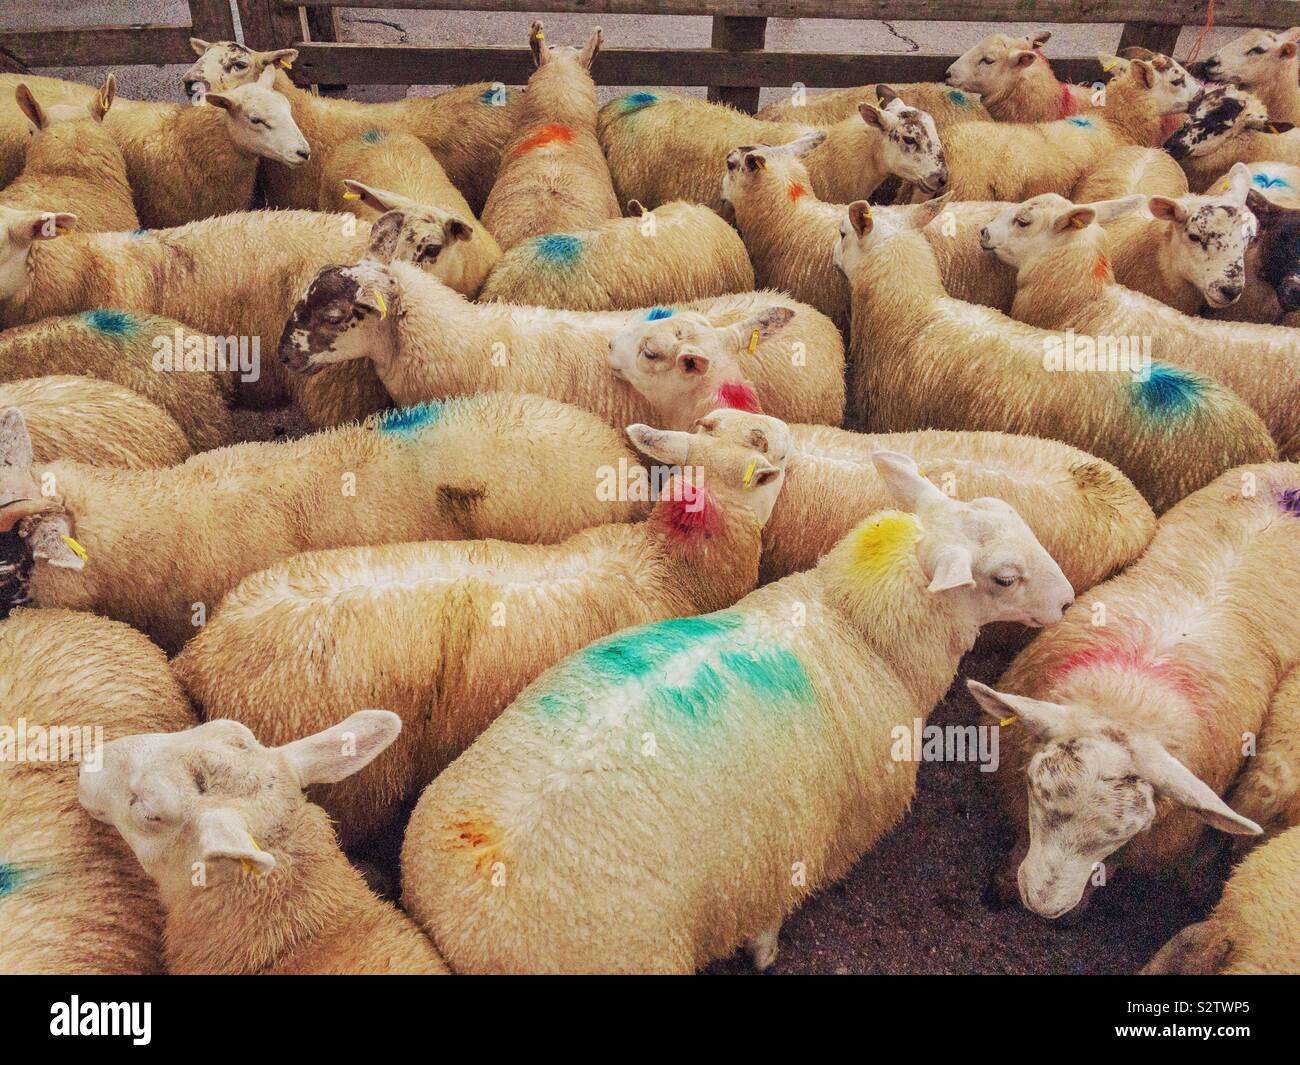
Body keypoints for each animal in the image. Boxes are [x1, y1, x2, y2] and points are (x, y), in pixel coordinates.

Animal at [399, 450, 1075, 974]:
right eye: (1005, 578)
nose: (1069, 601)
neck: (855, 629)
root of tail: (460, 923)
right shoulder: (792, 851)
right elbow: (770, 917)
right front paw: (765, 953)